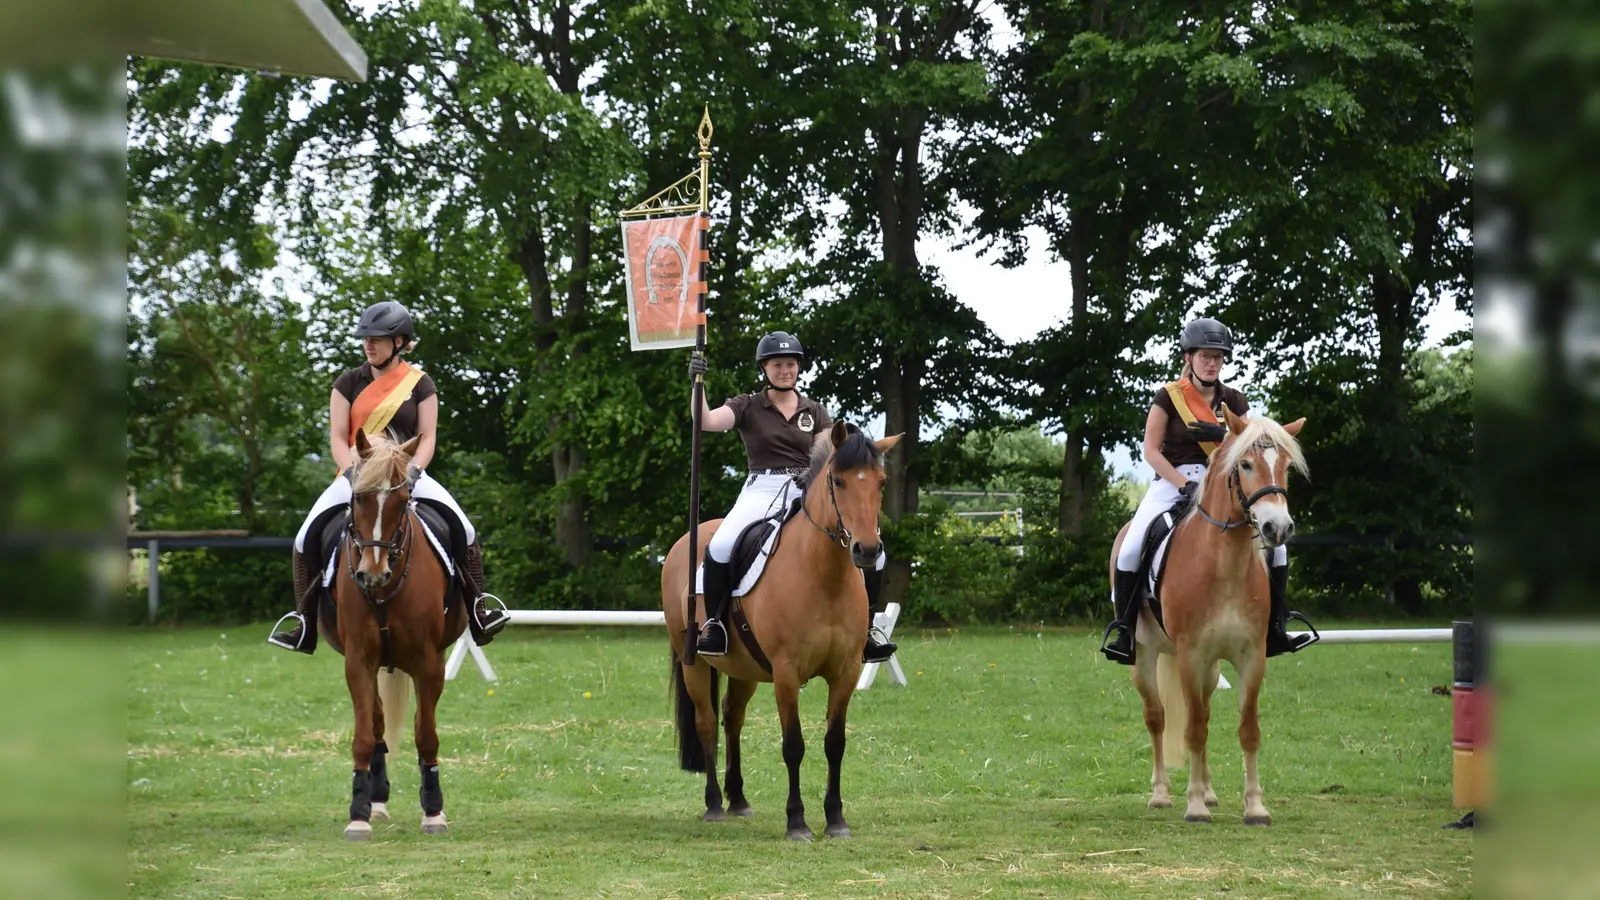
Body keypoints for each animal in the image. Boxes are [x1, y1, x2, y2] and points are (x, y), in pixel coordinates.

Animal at [320, 432, 467, 839]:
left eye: (403, 502)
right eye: (358, 498)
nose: (372, 574)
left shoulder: (429, 662)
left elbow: (426, 734)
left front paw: (434, 811)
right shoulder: (357, 662)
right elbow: (363, 736)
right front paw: (358, 814)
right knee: (377, 725)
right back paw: (376, 801)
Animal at [652, 422, 902, 839]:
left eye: (881, 483)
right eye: (838, 481)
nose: (867, 551)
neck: (823, 576)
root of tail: (688, 539)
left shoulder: (846, 672)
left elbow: (835, 742)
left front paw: (835, 819)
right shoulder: (786, 674)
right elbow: (793, 745)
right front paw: (797, 822)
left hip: (745, 668)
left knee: (732, 718)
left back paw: (738, 799)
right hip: (695, 664)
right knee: (707, 723)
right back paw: (715, 804)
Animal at [1113, 409, 1312, 826]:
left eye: (1286, 467)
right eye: (1246, 464)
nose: (1278, 528)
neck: (1226, 566)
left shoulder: (1251, 657)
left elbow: (1246, 729)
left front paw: (1254, 806)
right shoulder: (1191, 655)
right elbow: (1192, 730)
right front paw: (1194, 807)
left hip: (1211, 668)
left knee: (1201, 711)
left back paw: (1208, 790)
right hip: (1145, 656)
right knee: (1157, 717)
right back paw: (1162, 794)